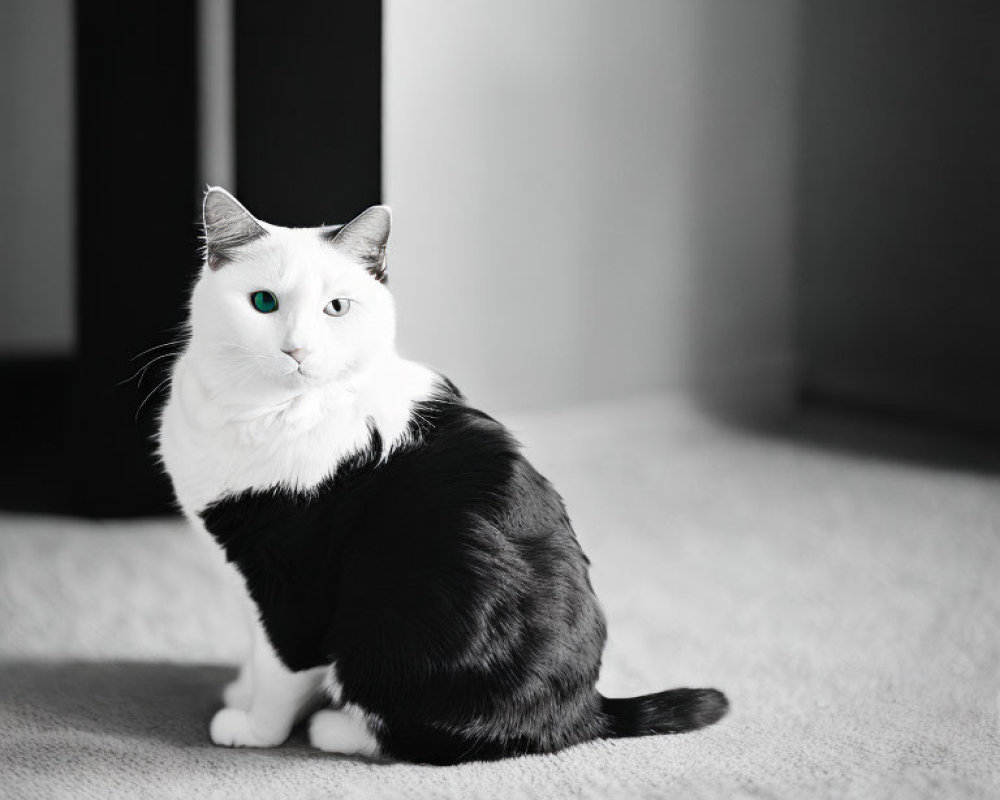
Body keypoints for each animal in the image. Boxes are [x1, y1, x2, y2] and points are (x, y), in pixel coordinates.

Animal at [160, 186, 732, 764]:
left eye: (337, 307)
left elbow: (282, 662)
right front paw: (243, 688)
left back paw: (336, 728)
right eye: (263, 303)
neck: (267, 410)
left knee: (429, 734)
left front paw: (257, 727)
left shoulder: (294, 578)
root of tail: (587, 709)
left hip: (390, 618)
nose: (298, 350)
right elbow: (258, 648)